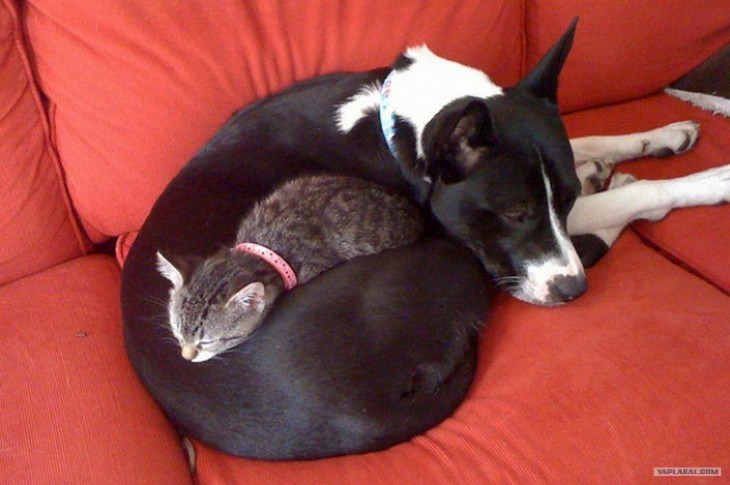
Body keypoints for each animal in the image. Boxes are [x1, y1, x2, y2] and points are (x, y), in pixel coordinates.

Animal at [121, 18, 728, 458]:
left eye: (565, 196)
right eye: (515, 213)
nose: (573, 293)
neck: (407, 123)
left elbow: (588, 139)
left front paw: (660, 135)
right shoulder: (472, 239)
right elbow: (631, 198)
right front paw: (704, 181)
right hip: (443, 257)